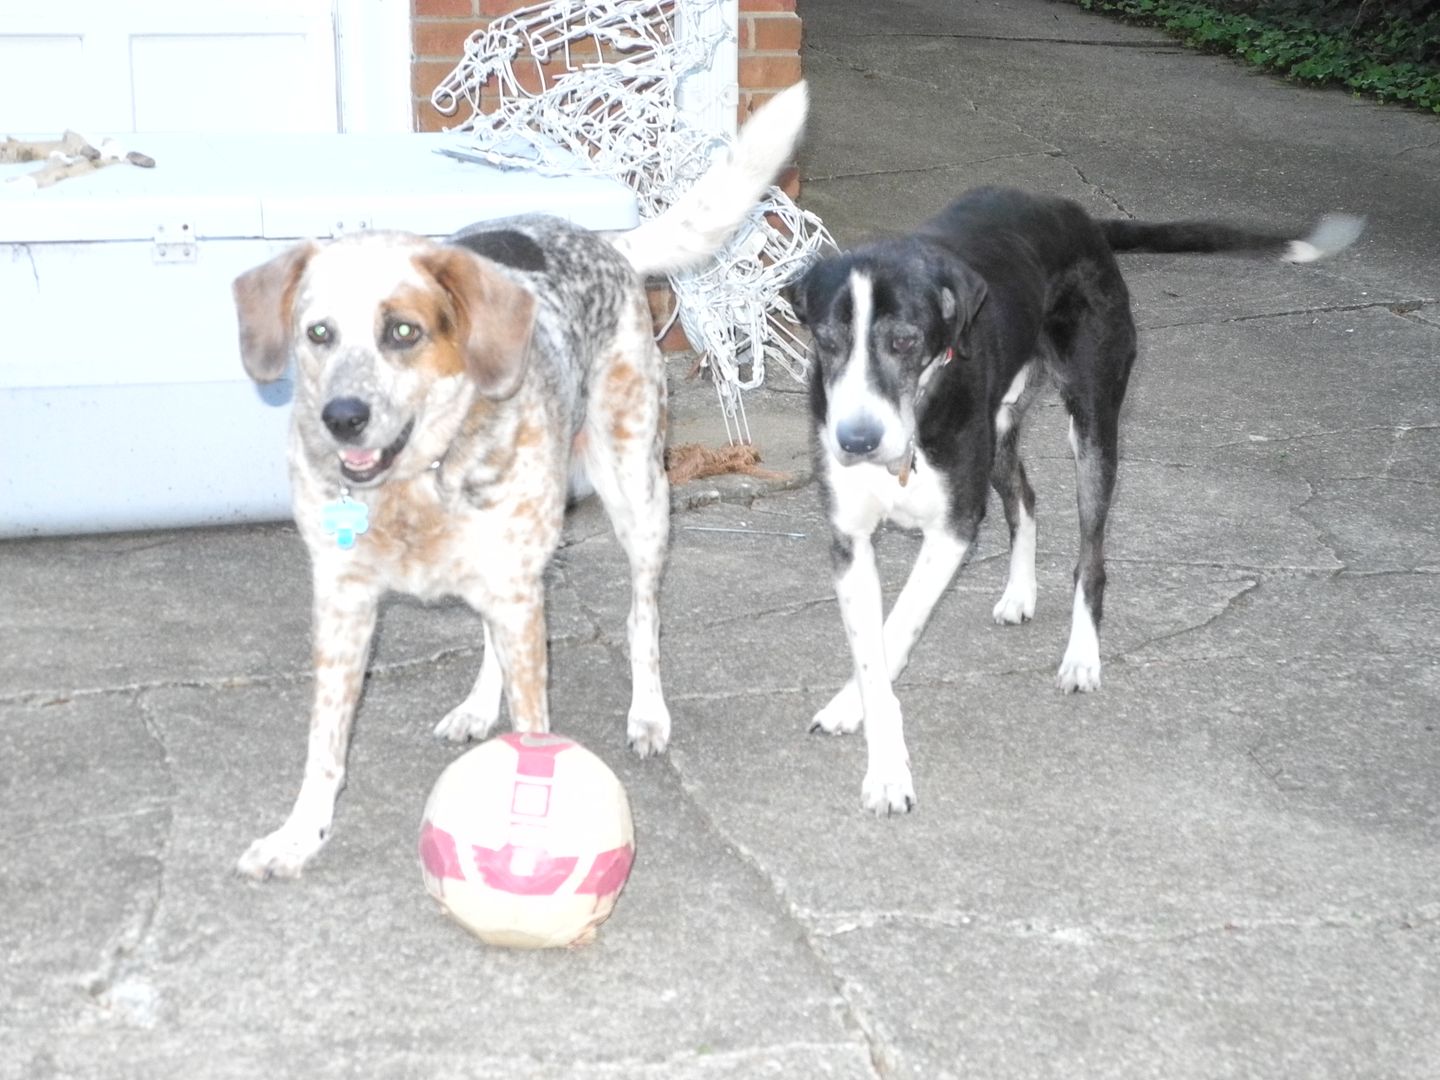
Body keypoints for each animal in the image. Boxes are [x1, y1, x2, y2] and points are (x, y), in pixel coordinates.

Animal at [230, 82, 806, 881]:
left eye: (403, 332)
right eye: (318, 333)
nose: (341, 418)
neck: (419, 481)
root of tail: (604, 244)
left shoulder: (518, 589)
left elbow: (537, 735)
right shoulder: (344, 605)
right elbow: (325, 745)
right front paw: (299, 836)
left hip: (636, 497)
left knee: (642, 619)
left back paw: (648, 713)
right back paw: (478, 707)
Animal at [789, 185, 1359, 817]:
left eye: (905, 340)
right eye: (827, 342)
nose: (856, 440)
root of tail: (1073, 213)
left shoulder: (954, 528)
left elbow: (898, 628)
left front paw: (886, 766)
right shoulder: (850, 541)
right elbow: (872, 651)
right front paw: (863, 724)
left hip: (1093, 426)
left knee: (1091, 557)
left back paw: (1082, 655)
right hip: (1001, 430)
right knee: (1026, 497)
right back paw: (1020, 592)